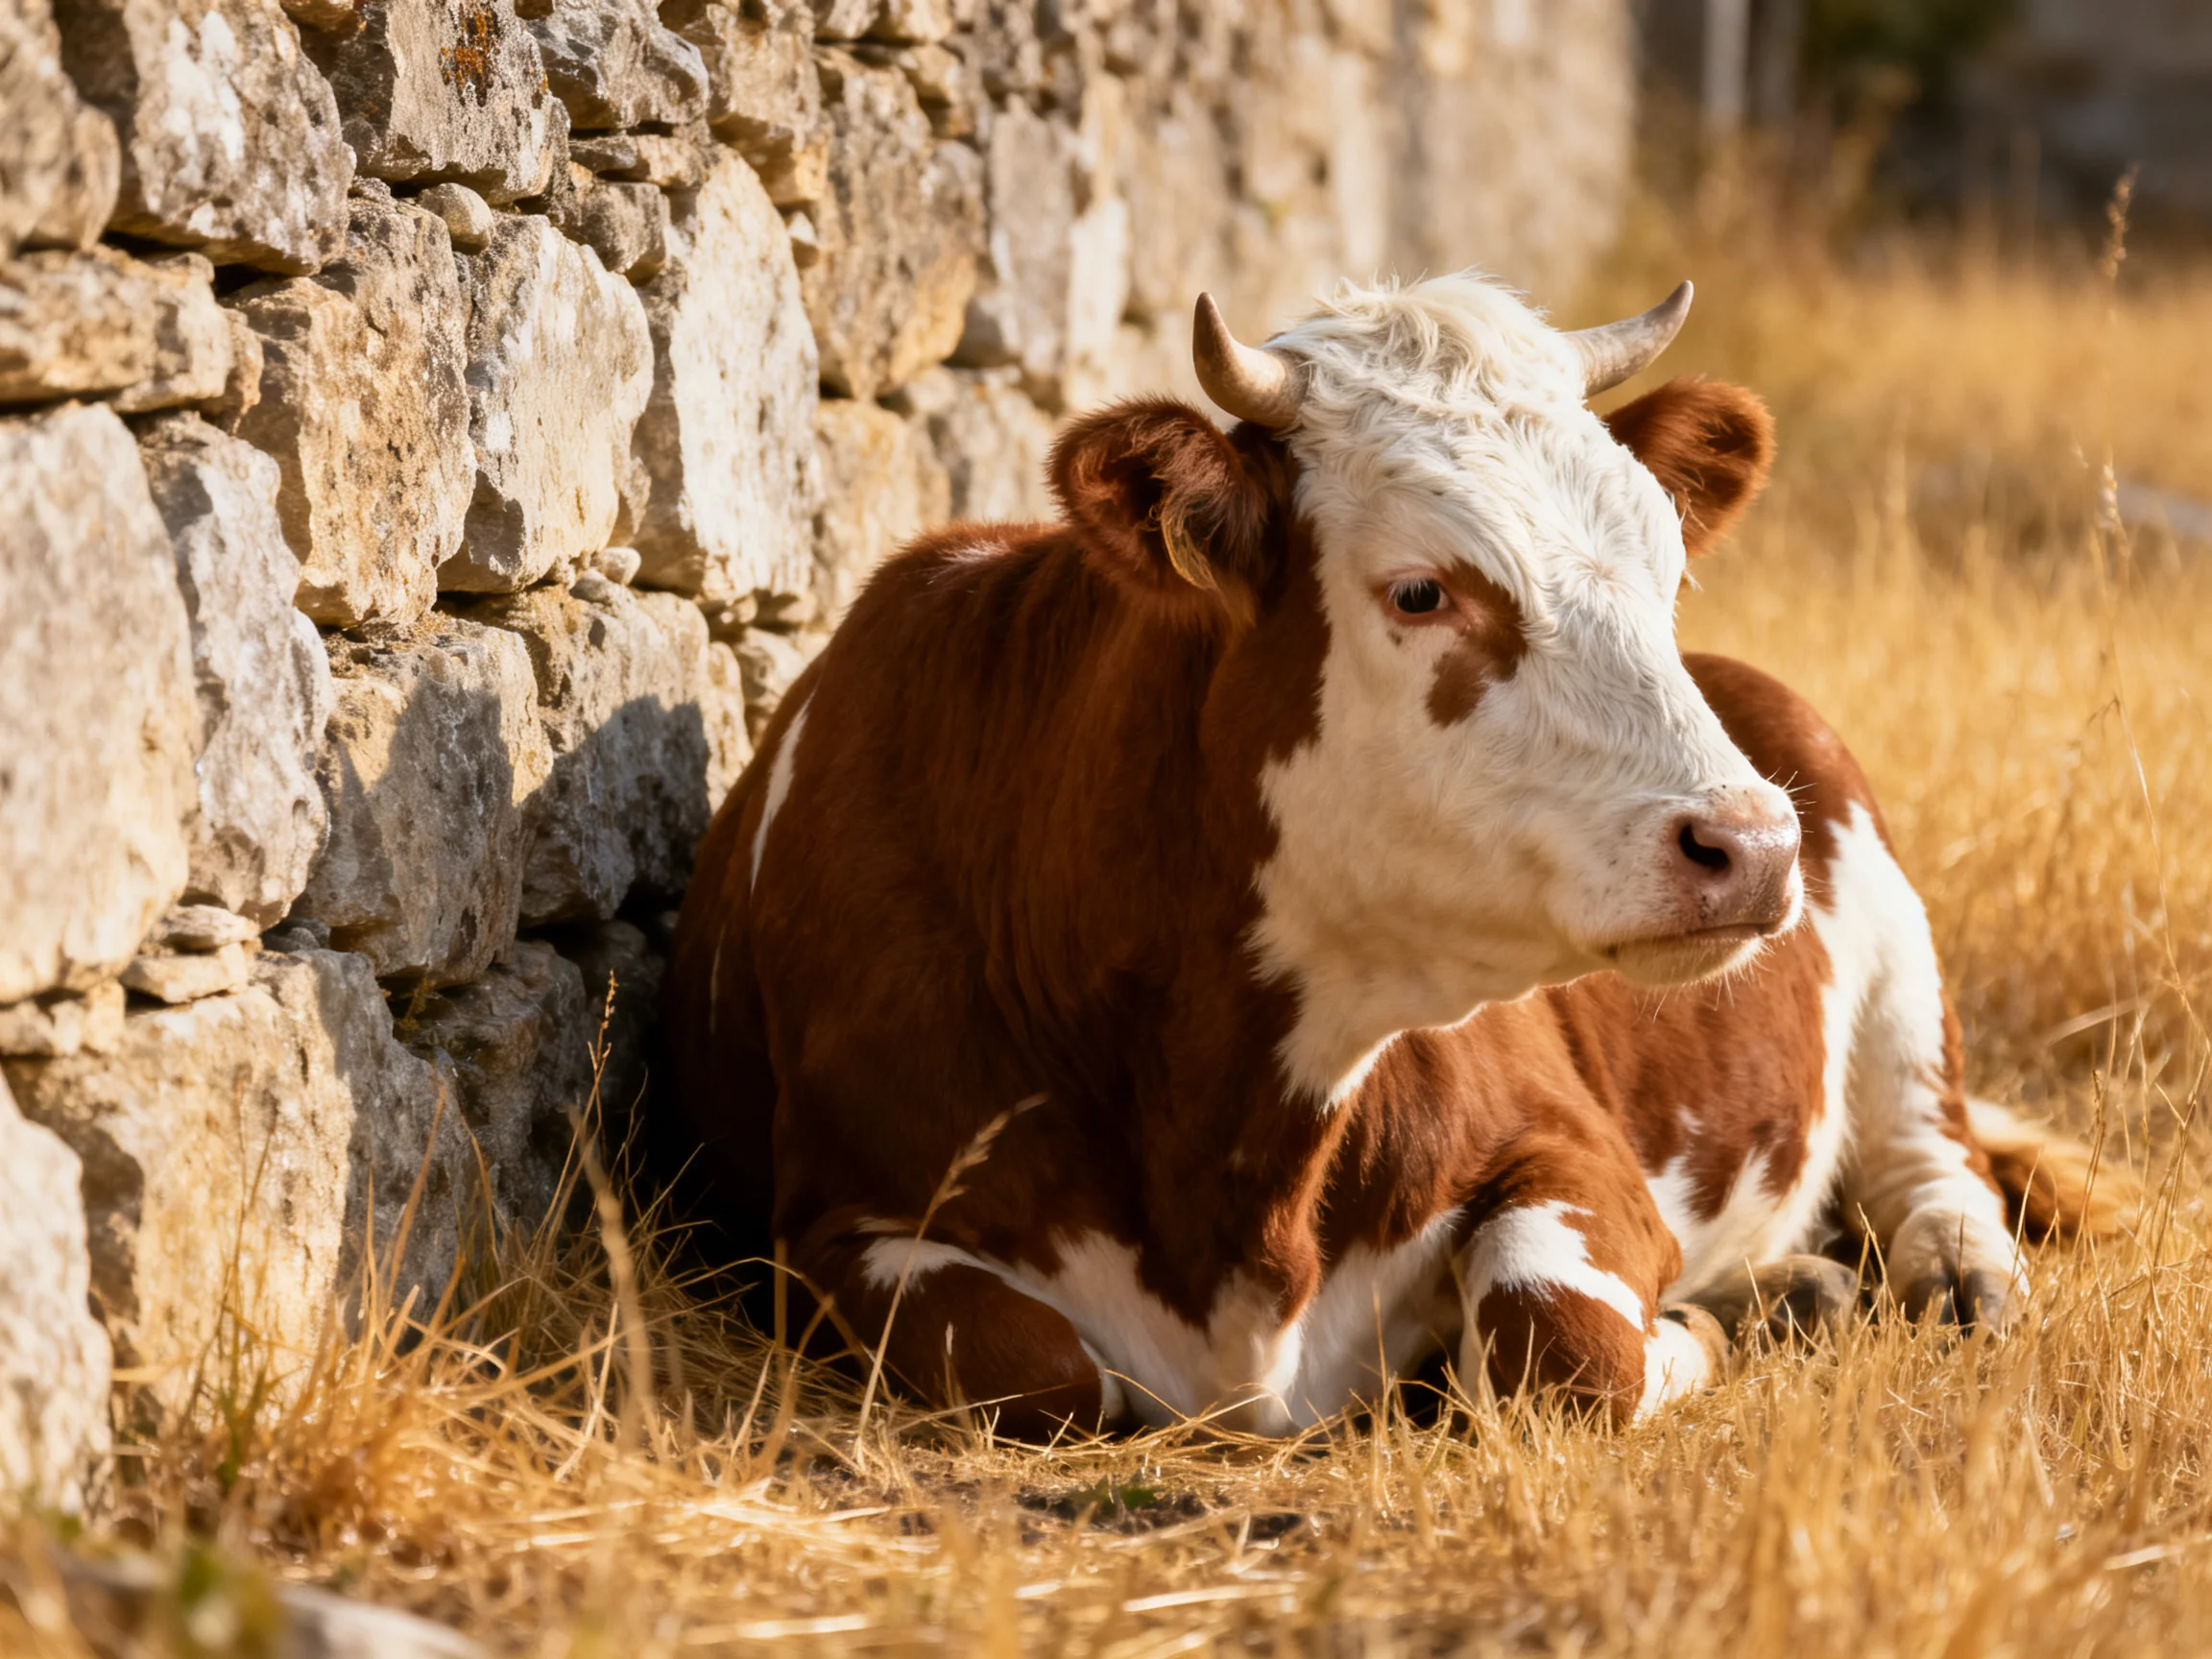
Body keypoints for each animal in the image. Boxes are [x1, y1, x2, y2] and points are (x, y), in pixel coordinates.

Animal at [664, 272, 2110, 1437]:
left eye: (1668, 573)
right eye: (1422, 590)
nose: (1749, 842)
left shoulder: (1572, 1148)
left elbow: (1558, 1345)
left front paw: (1697, 1325)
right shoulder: (831, 1226)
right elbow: (1036, 1371)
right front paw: (1737, 1307)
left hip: (1896, 954)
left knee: (1930, 1160)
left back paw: (1941, 1275)